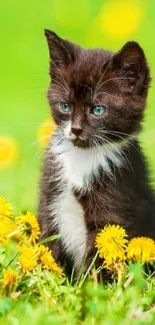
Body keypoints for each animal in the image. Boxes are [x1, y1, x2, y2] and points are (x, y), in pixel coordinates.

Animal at [38, 30, 155, 278]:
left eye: (98, 110)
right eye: (65, 106)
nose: (75, 130)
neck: (82, 157)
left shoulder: (113, 203)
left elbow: (99, 254)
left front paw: (88, 286)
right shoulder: (50, 193)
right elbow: (49, 240)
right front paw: (44, 277)